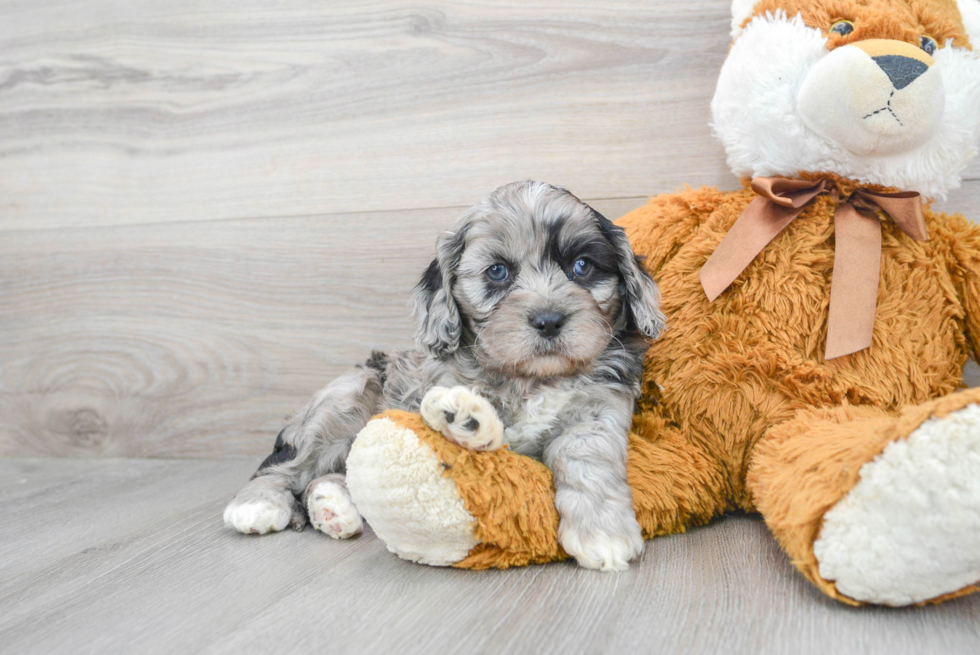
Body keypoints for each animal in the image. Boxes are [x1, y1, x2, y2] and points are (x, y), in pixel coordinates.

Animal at [222, 182, 668, 572]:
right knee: (284, 467)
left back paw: (333, 507)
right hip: (342, 401)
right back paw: (258, 505)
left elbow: (588, 459)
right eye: (497, 272)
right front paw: (468, 421)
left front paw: (602, 533)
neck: (532, 378)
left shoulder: (598, 409)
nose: (548, 319)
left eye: (582, 266)